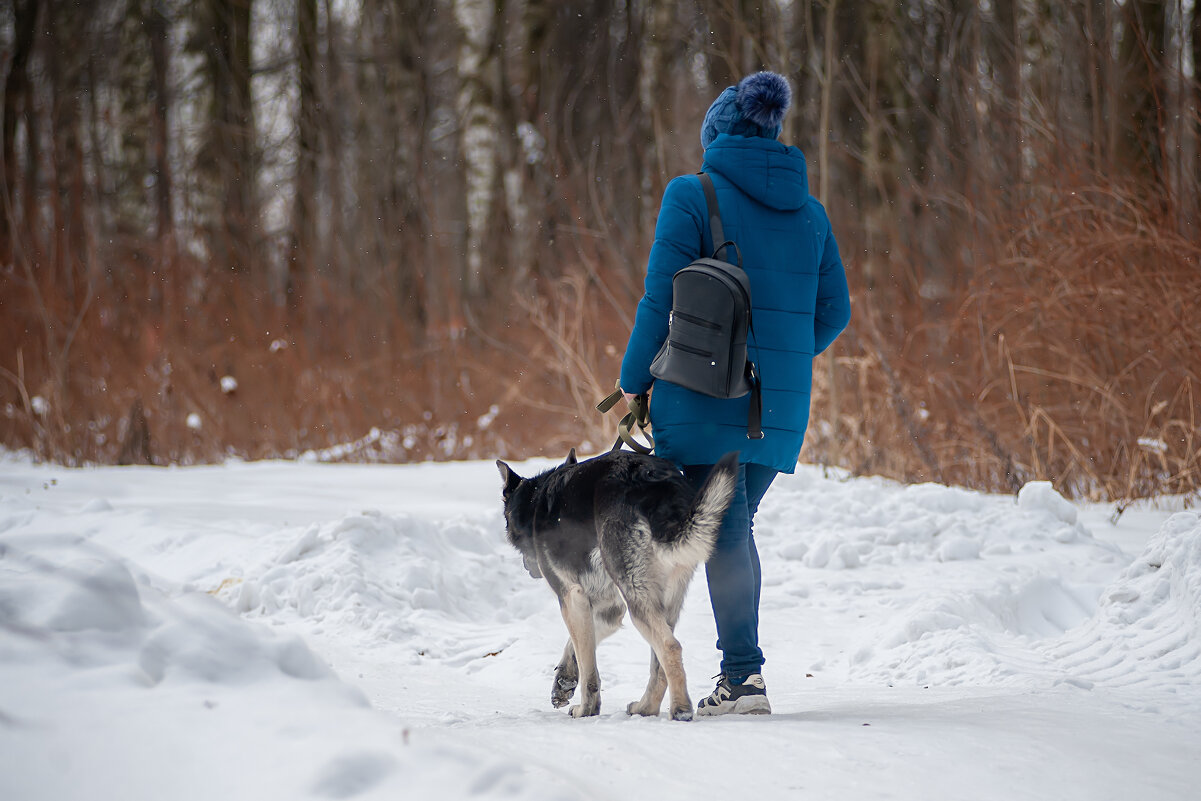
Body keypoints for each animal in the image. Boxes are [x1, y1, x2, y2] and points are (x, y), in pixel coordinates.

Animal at [492, 451, 735, 720]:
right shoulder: (609, 609)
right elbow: (577, 646)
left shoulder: (570, 596)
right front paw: (565, 680)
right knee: (659, 665)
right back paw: (646, 708)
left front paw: (586, 709)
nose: (529, 568)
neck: (535, 502)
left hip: (637, 597)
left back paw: (680, 709)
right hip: (665, 598)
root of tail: (661, 487)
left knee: (670, 647)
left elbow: (588, 666)